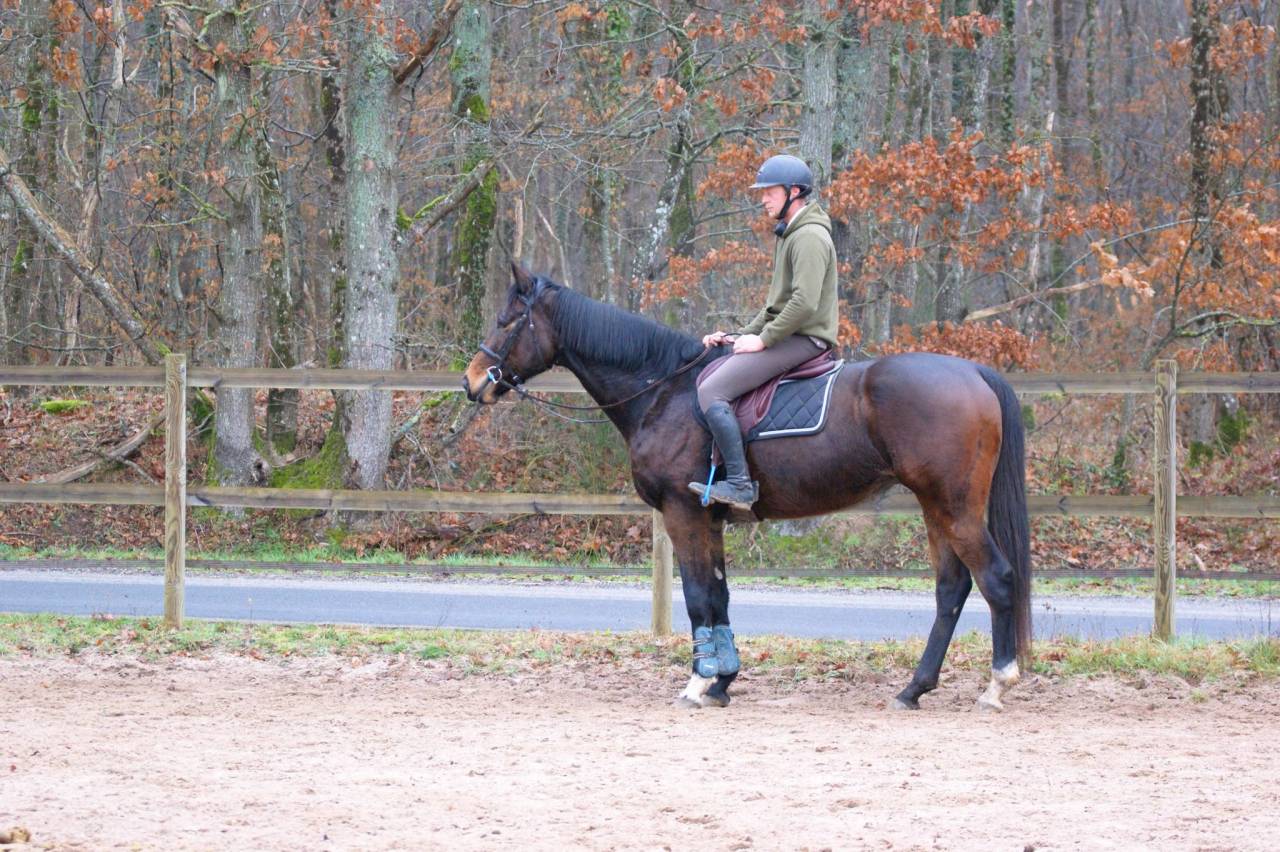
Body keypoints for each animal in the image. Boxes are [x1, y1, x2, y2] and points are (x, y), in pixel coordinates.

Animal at [463, 264, 1032, 711]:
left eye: (508, 320)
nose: (472, 382)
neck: (664, 390)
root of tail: (973, 372)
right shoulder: (709, 520)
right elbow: (719, 595)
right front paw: (723, 681)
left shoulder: (683, 513)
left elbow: (698, 597)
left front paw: (698, 683)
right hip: (936, 508)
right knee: (951, 589)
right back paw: (914, 689)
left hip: (954, 507)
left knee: (997, 579)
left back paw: (996, 686)